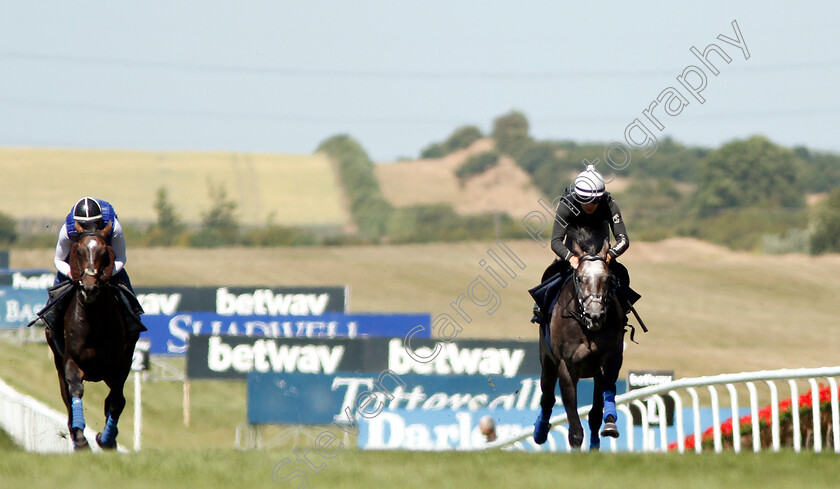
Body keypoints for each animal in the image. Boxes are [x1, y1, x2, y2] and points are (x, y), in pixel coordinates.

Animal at [46, 221, 139, 450]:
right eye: (79, 251)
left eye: (104, 252)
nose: (89, 288)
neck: (93, 321)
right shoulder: (71, 360)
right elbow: (75, 391)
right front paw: (80, 439)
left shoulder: (119, 365)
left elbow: (116, 401)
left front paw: (106, 439)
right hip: (58, 359)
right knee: (67, 397)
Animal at [532, 229, 624, 450]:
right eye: (581, 278)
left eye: (607, 278)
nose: (595, 315)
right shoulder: (566, 366)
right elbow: (572, 417)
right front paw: (575, 444)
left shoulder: (609, 358)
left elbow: (602, 403)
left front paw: (609, 425)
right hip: (547, 361)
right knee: (547, 398)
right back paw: (540, 432)